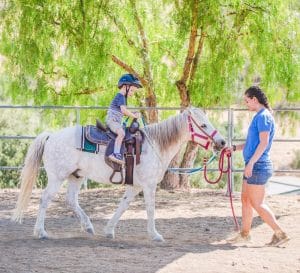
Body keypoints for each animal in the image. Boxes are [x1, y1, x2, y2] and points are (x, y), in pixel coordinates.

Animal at [12, 106, 226, 240]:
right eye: (203, 125)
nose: (222, 142)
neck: (155, 145)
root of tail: (50, 136)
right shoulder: (148, 186)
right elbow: (150, 209)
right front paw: (155, 235)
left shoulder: (135, 186)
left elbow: (122, 207)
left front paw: (109, 231)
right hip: (57, 177)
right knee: (45, 200)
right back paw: (40, 232)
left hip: (76, 176)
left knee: (71, 200)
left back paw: (88, 226)